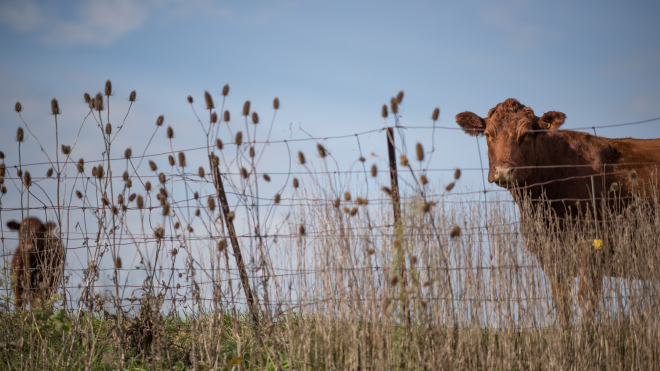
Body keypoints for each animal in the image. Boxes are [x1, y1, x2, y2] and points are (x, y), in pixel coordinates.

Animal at [456, 99, 660, 326]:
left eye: (527, 134)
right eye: (488, 134)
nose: (503, 171)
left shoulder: (593, 243)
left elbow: (586, 298)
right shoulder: (548, 251)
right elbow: (562, 300)